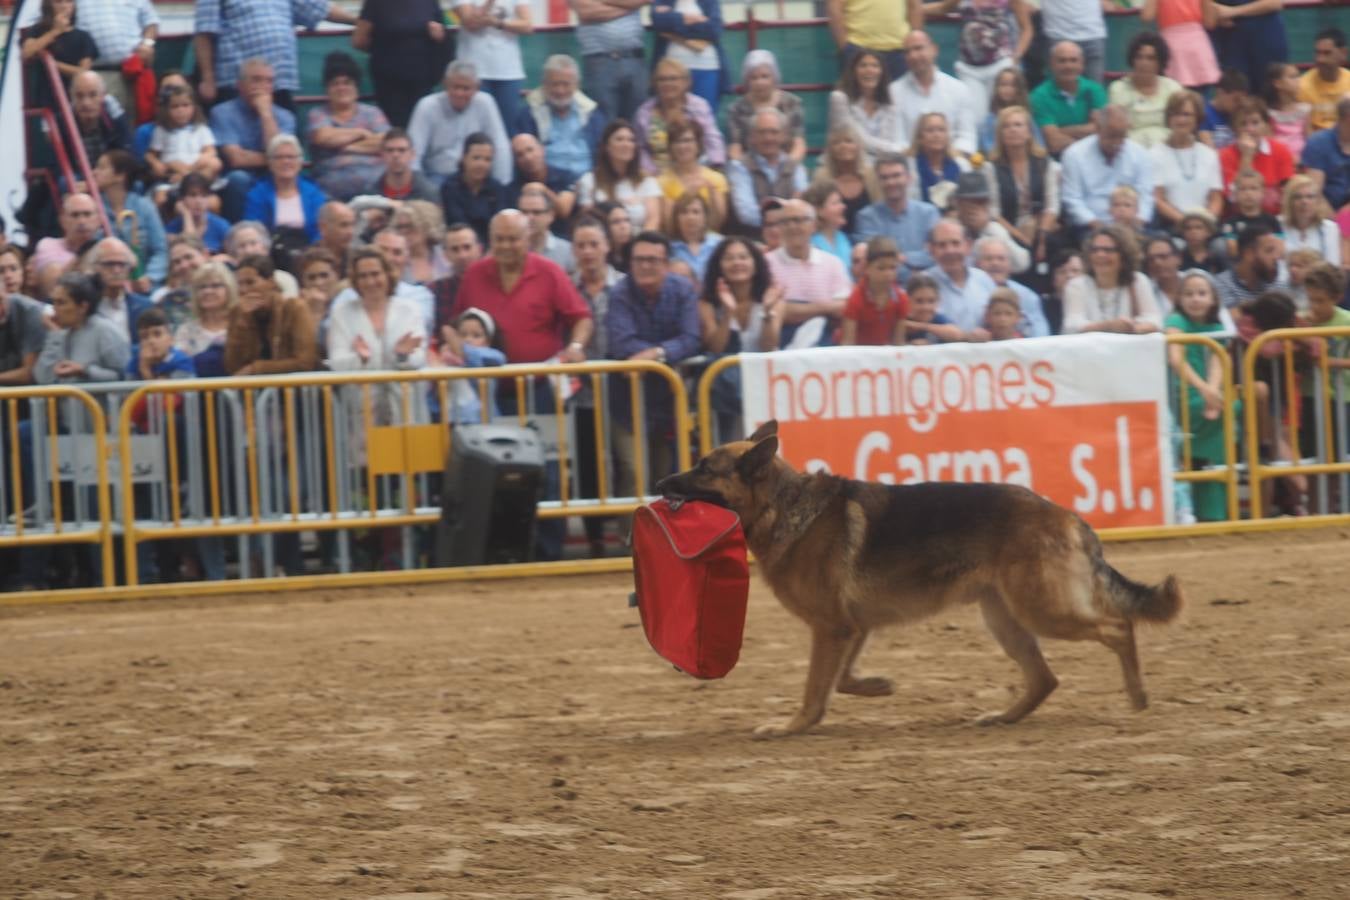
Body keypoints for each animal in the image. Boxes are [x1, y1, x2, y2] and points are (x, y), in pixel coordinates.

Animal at [656, 423, 1182, 739]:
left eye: (704, 468)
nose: (660, 483)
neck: (783, 506)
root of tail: (1067, 515)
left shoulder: (832, 629)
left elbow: (814, 687)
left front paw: (793, 726)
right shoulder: (851, 628)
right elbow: (839, 680)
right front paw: (875, 687)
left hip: (1044, 611)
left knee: (1118, 628)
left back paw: (1137, 696)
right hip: (1005, 619)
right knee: (1045, 678)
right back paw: (1003, 717)